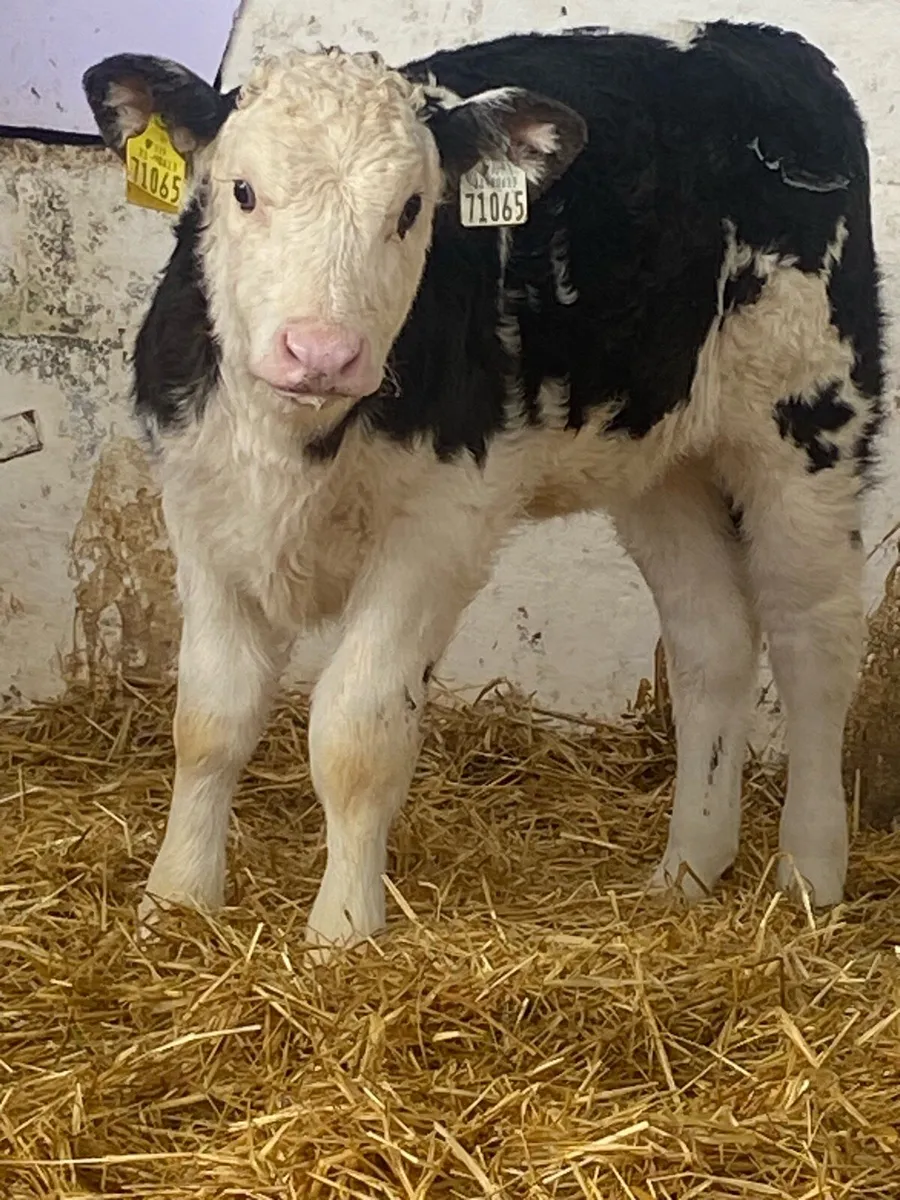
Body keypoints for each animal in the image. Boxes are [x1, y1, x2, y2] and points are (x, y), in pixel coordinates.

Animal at [82, 21, 884, 958]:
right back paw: (688, 868)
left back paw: (808, 875)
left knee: (811, 641)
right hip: (661, 462)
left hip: (813, 419)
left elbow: (357, 729)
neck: (294, 444)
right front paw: (175, 905)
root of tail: (757, 39)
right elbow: (209, 719)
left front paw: (342, 934)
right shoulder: (201, 509)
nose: (321, 352)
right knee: (711, 641)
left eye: (410, 209)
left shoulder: (437, 531)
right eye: (241, 191)